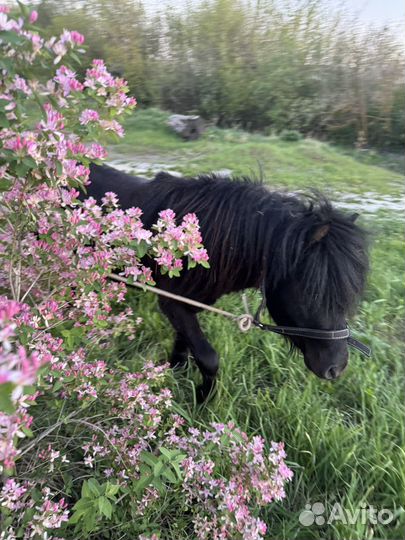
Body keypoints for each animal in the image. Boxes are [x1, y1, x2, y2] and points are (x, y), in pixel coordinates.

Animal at [87, 165, 368, 400]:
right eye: (314, 295)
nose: (337, 367)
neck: (207, 239)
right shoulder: (172, 302)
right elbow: (209, 358)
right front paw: (202, 400)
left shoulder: (189, 305)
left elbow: (184, 344)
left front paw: (176, 371)